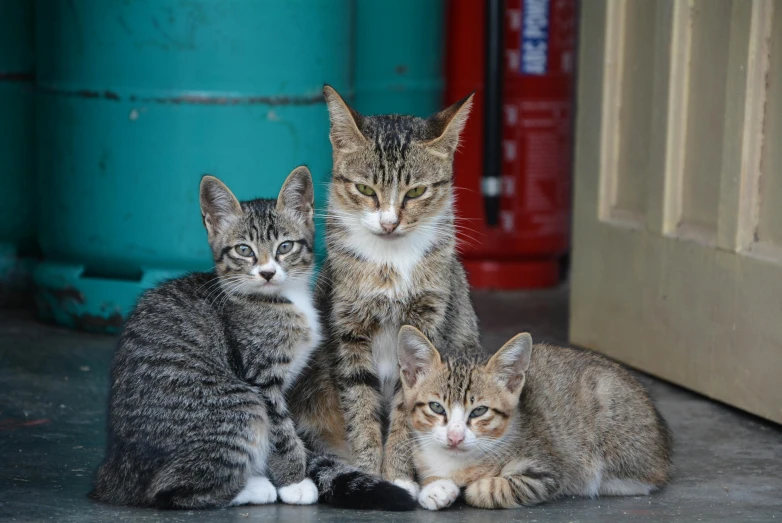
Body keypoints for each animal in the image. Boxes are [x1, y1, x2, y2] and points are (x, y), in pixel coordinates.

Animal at [92, 169, 388, 512]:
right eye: (244, 250)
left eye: (285, 246)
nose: (268, 272)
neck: (279, 299)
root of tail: (115, 474)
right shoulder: (261, 378)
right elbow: (281, 432)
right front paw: (294, 481)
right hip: (239, 406)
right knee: (169, 491)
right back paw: (256, 488)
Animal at [290, 86, 484, 504]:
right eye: (365, 189)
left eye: (416, 191)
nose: (389, 222)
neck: (389, 264)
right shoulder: (349, 327)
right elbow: (360, 402)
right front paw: (369, 473)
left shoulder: (428, 321)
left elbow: (408, 407)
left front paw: (398, 475)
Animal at [398, 326, 672, 510]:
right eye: (436, 407)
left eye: (479, 411)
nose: (455, 437)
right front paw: (436, 488)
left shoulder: (546, 471)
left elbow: (496, 488)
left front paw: (473, 487)